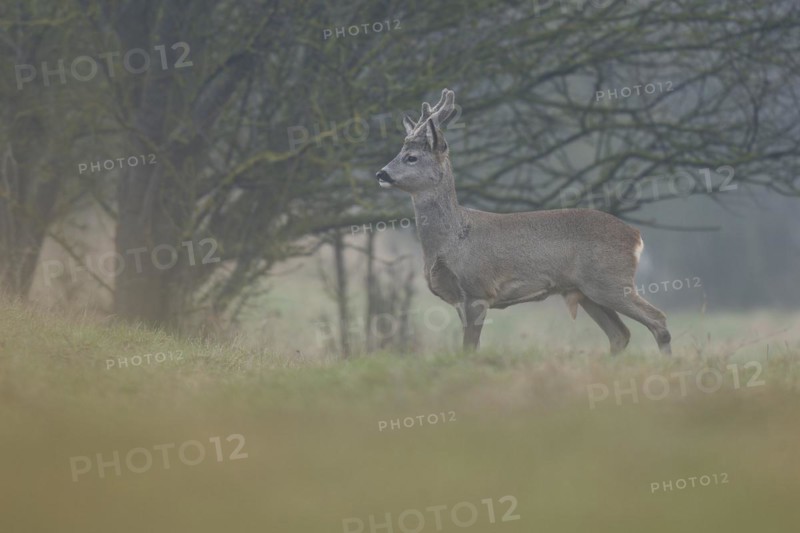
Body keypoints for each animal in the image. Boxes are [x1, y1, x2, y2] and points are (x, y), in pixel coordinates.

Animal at [375, 89, 672, 355]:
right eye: (399, 152)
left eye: (411, 157)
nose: (381, 173)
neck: (453, 238)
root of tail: (636, 236)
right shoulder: (460, 299)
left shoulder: (478, 289)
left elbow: (469, 349)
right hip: (586, 290)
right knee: (620, 334)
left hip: (611, 280)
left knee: (658, 320)